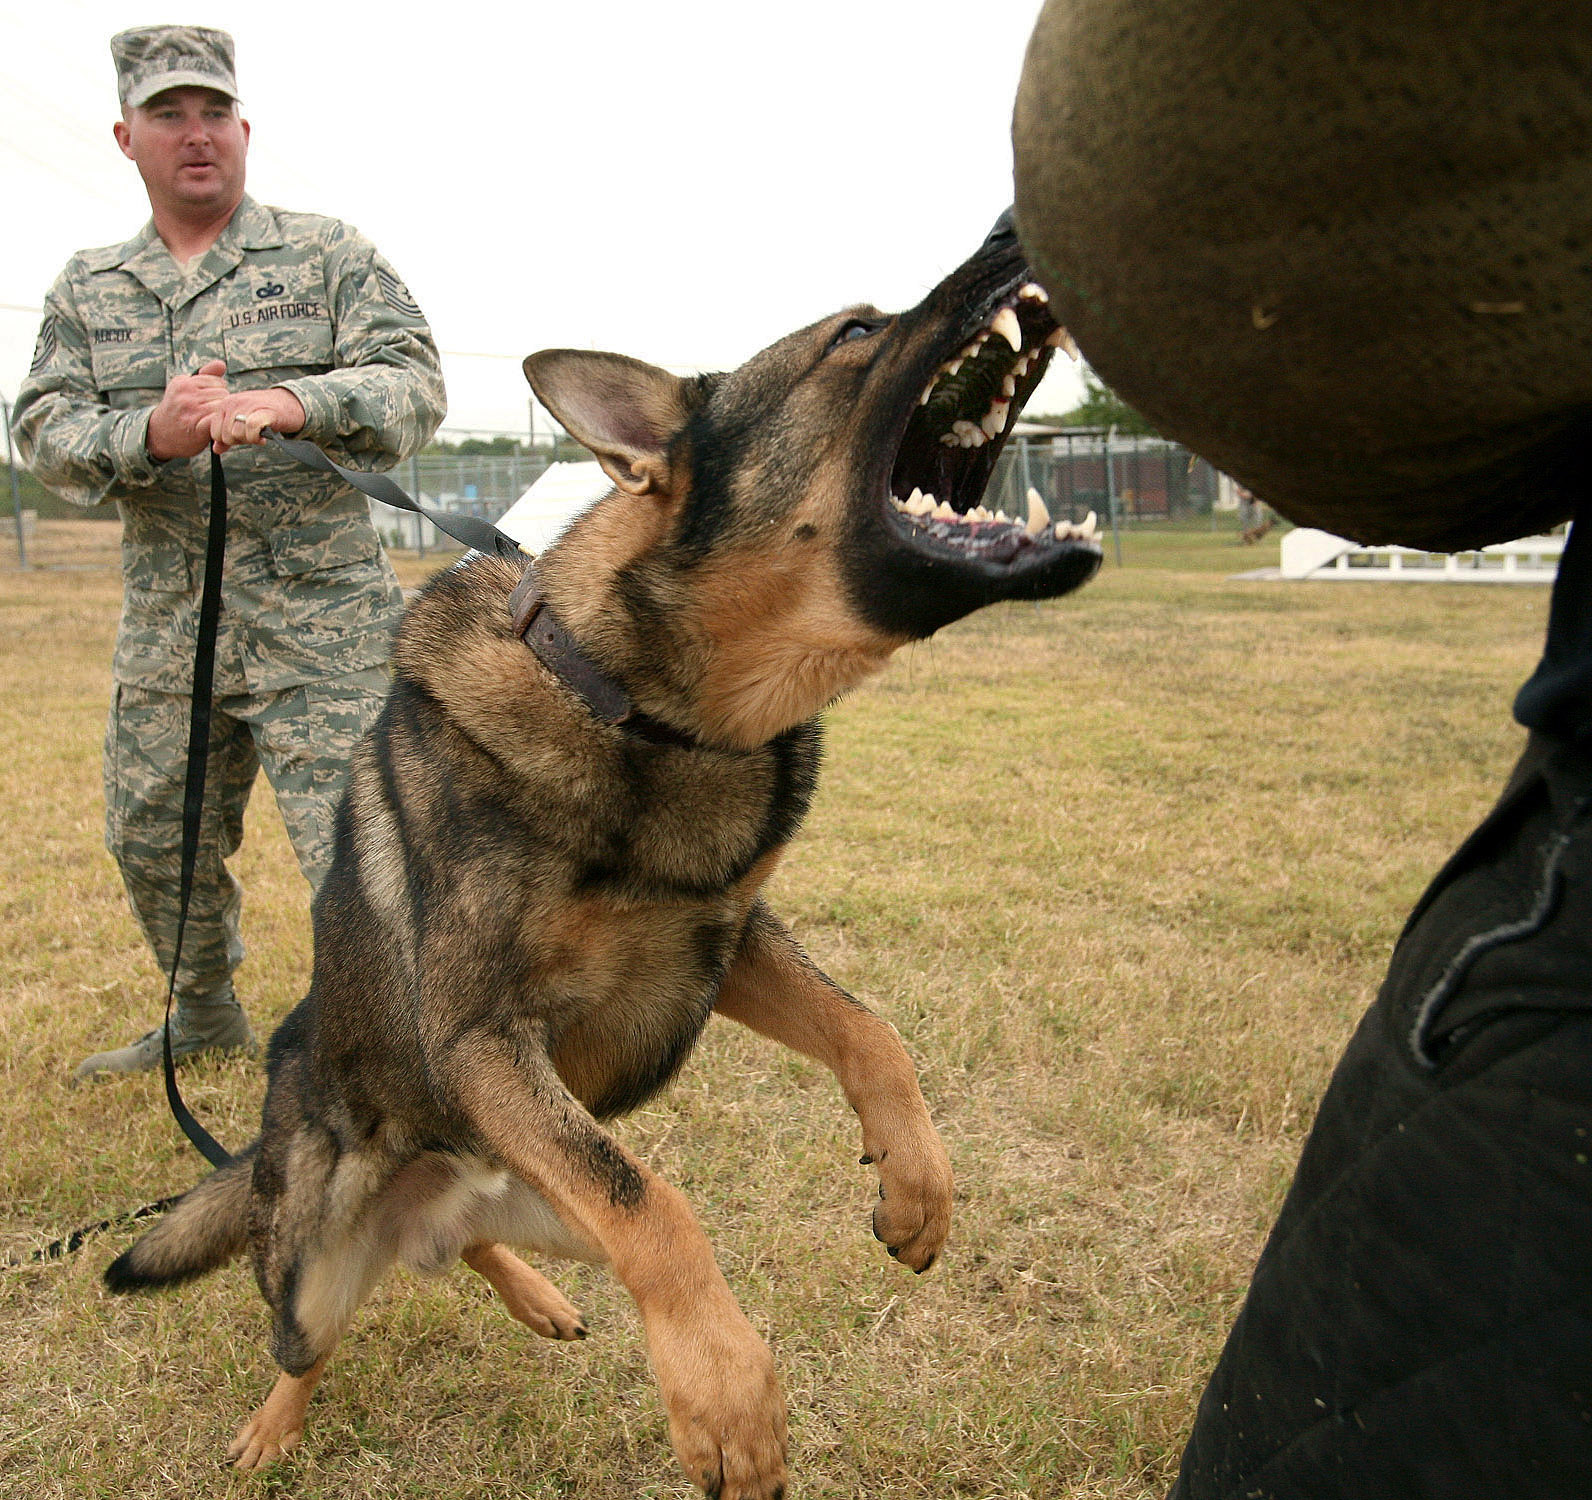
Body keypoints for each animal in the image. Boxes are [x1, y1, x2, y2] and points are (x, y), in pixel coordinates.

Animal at [105, 211, 1101, 1500]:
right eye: (854, 334)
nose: (1011, 226)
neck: (636, 702)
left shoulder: (721, 944)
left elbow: (867, 1029)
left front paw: (914, 1187)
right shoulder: (485, 1040)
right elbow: (659, 1205)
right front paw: (725, 1395)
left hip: (535, 1198)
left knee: (474, 1243)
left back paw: (537, 1300)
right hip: (319, 1260)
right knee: (307, 1339)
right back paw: (272, 1428)